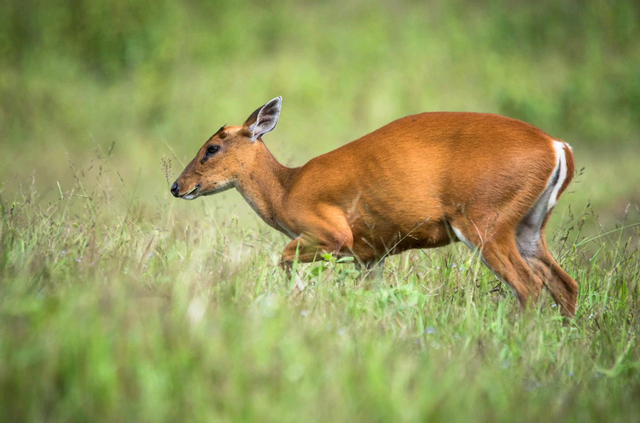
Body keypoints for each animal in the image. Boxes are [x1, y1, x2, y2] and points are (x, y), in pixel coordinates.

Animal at [171, 95, 580, 314]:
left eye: (211, 148)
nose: (177, 186)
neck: (286, 191)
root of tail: (558, 147)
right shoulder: (370, 254)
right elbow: (372, 295)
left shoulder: (332, 233)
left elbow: (283, 257)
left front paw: (300, 298)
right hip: (529, 224)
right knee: (564, 283)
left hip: (485, 218)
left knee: (528, 285)